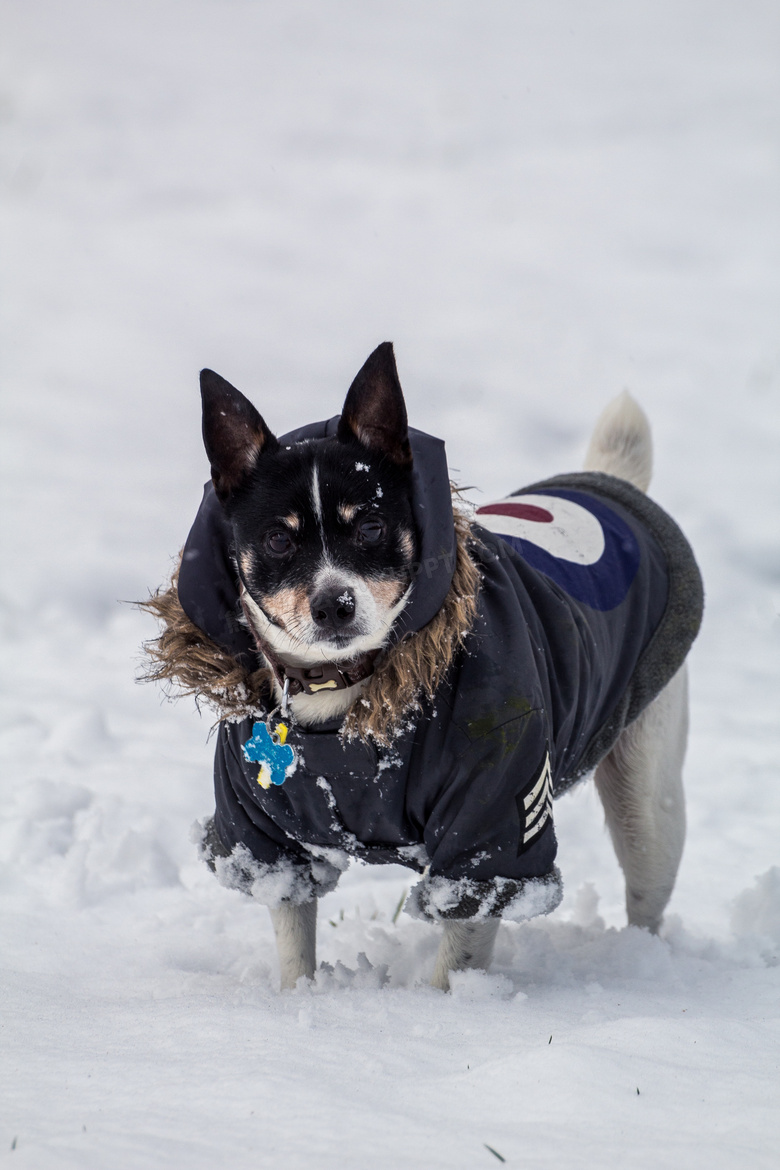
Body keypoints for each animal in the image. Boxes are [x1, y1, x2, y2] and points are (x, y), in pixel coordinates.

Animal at [143, 341, 706, 992]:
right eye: (279, 541)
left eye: (371, 525)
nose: (334, 604)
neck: (348, 699)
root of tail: (610, 485)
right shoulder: (265, 838)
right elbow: (293, 939)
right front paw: (298, 999)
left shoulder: (491, 827)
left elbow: (459, 947)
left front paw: (442, 1010)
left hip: (648, 795)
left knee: (647, 888)